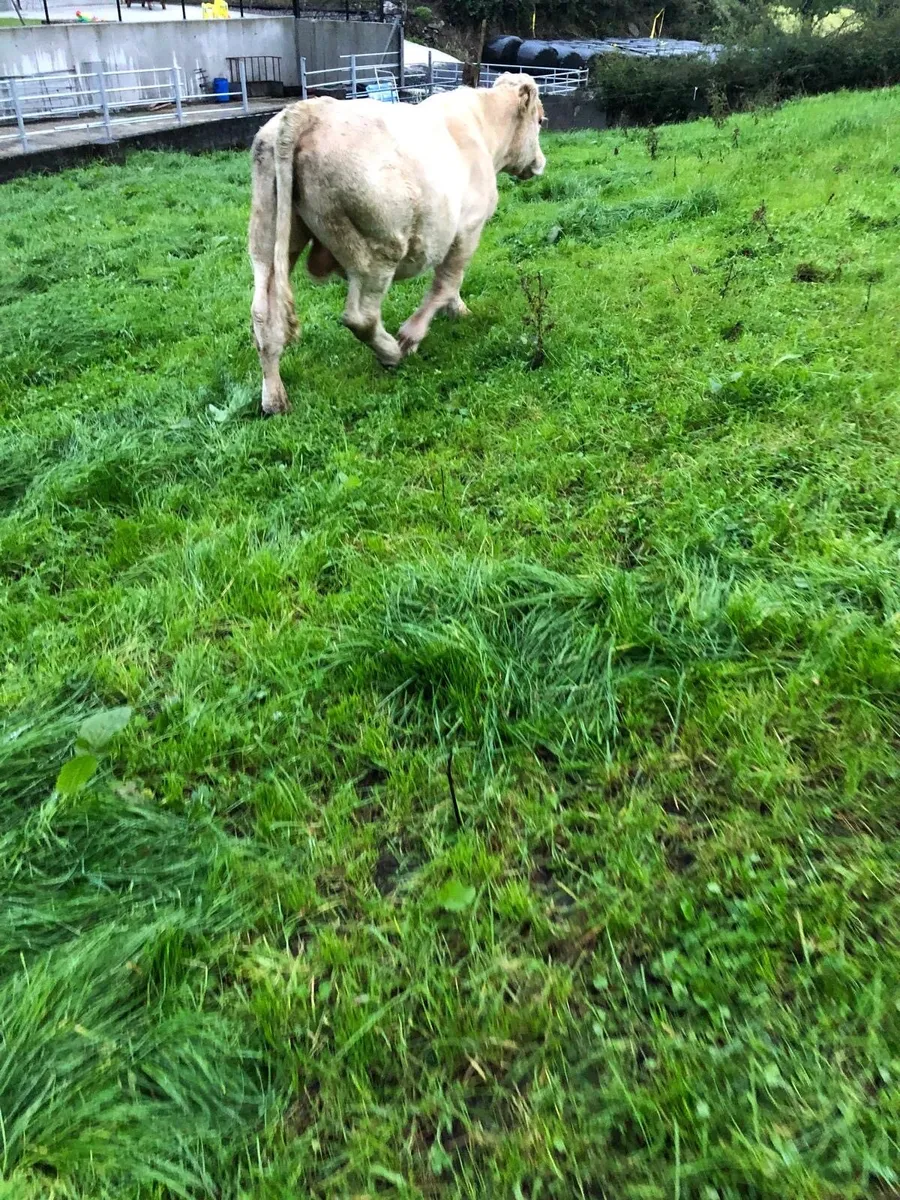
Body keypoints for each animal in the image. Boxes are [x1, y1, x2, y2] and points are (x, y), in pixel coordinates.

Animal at [248, 75, 546, 415]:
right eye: (540, 120)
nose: (540, 162)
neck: (481, 126)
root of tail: (307, 111)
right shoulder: (468, 229)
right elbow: (446, 282)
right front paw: (412, 335)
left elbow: (449, 283)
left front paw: (456, 310)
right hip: (377, 250)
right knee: (360, 317)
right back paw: (391, 351)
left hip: (267, 239)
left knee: (263, 316)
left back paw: (274, 399)